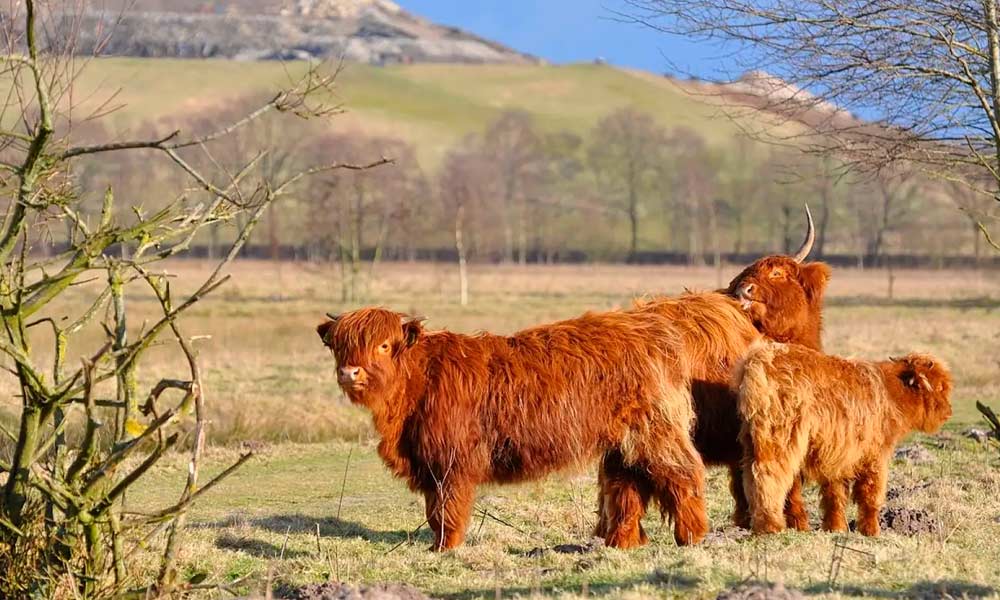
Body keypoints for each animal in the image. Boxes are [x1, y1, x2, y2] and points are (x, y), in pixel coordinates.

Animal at [316, 293, 764, 550]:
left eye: (383, 345)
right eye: (340, 346)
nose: (350, 372)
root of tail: (650, 325)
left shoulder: (452, 463)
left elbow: (446, 510)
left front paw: (444, 549)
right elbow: (433, 509)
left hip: (655, 431)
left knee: (683, 473)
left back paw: (692, 537)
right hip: (623, 444)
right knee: (627, 487)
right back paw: (619, 543)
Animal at [735, 343, 952, 536]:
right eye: (940, 387)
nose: (949, 412)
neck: (891, 393)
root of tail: (760, 359)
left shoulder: (838, 454)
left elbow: (835, 496)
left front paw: (836, 527)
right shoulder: (875, 456)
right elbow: (871, 495)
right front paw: (871, 531)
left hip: (752, 440)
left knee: (750, 476)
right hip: (781, 437)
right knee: (769, 475)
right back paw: (770, 525)